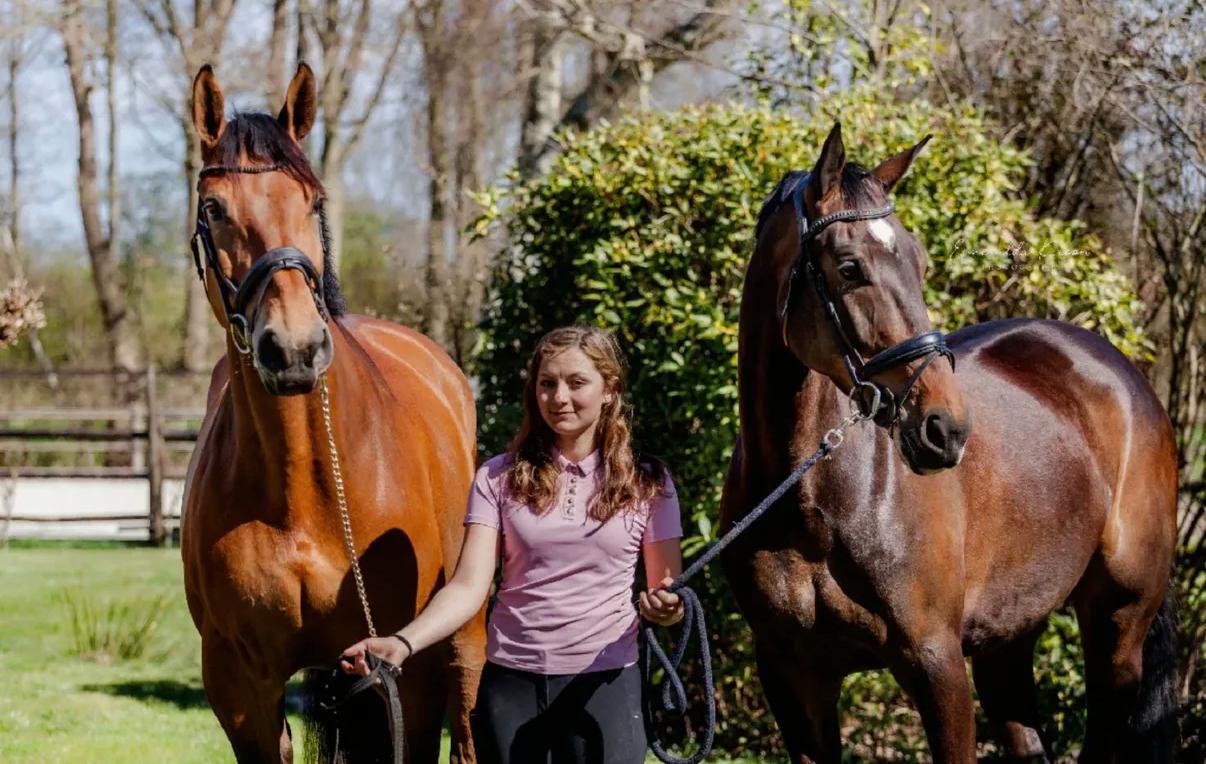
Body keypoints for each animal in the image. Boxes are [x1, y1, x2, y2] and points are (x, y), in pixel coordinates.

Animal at [181, 63, 485, 763]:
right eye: (213, 209)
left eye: (313, 201)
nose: (293, 348)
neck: (305, 493)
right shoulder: (242, 691)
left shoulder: (406, 674)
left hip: (465, 646)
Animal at [719, 123, 1178, 763]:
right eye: (849, 266)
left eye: (920, 262)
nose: (947, 429)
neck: (809, 502)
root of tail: (1125, 373)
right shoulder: (793, 679)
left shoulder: (936, 664)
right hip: (1008, 639)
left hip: (1118, 628)